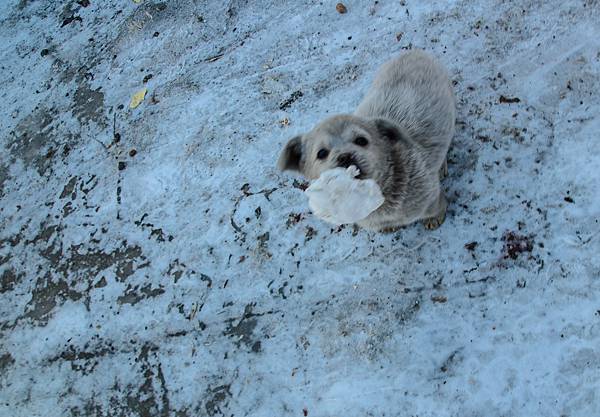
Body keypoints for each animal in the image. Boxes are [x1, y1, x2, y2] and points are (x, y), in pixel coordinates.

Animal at [276, 50, 454, 232]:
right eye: (321, 153)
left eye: (361, 140)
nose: (345, 157)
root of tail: (413, 51)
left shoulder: (430, 196)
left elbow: (437, 207)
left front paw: (434, 219)